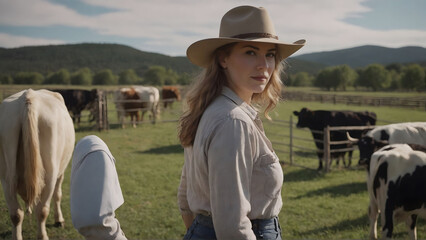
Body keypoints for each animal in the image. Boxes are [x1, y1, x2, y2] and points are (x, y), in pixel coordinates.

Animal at [0, 89, 75, 240]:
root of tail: (29, 97)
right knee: (42, 209)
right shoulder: (61, 172)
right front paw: (59, 220)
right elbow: (57, 195)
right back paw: (43, 235)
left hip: (6, 175)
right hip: (51, 173)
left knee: (16, 213)